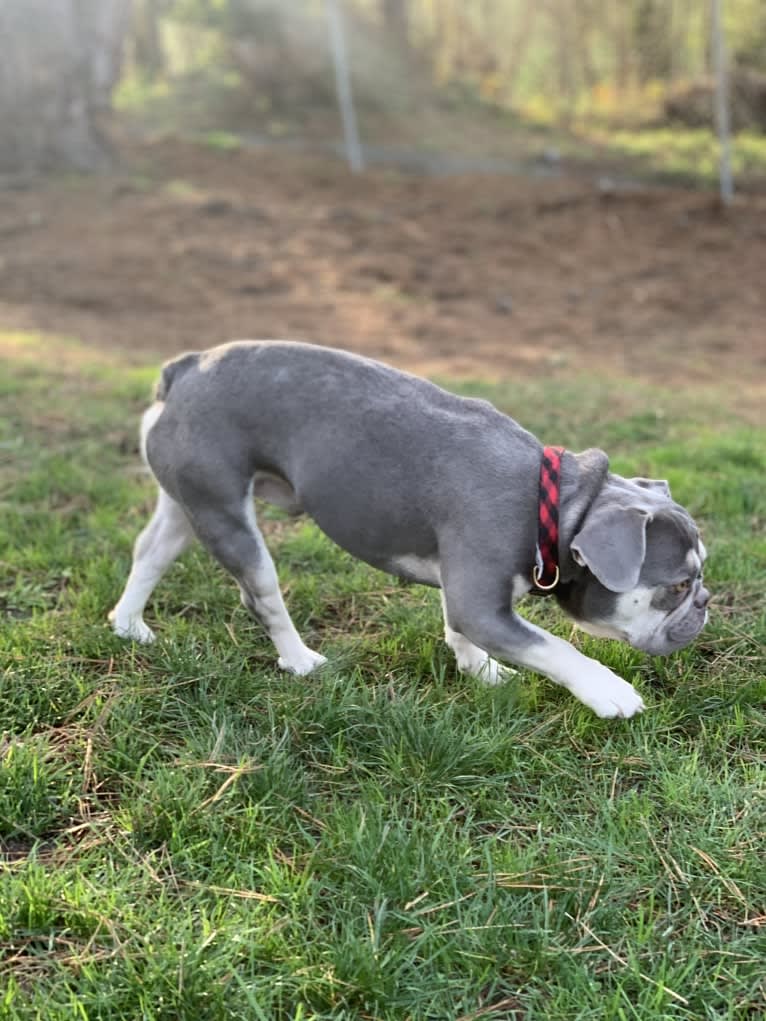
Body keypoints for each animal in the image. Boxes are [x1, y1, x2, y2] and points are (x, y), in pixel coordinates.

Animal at [110, 343, 710, 718]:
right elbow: (554, 647)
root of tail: (187, 368)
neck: (559, 505)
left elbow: (459, 628)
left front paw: (480, 670)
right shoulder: (481, 601)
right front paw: (607, 690)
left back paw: (128, 625)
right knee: (261, 595)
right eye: (677, 586)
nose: (705, 603)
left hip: (188, 502)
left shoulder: (465, 592)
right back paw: (300, 660)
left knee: (151, 552)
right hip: (227, 517)